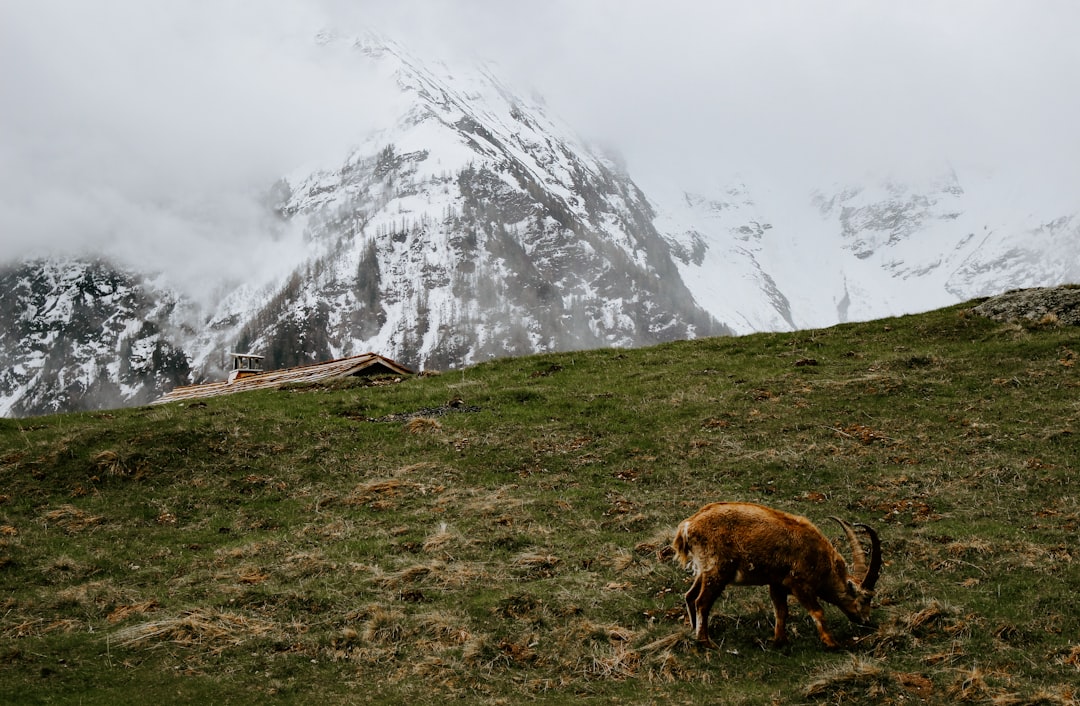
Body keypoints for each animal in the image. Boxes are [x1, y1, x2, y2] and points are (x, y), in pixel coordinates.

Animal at [669, 503, 881, 647]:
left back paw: (695, 631)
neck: (821, 559)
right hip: (717, 570)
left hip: (703, 569)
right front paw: (832, 643)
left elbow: (781, 611)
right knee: (701, 602)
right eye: (865, 598)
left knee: (690, 596)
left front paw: (779, 640)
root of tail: (688, 526)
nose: (867, 621)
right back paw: (705, 642)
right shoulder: (799, 583)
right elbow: (817, 612)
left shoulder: (777, 583)